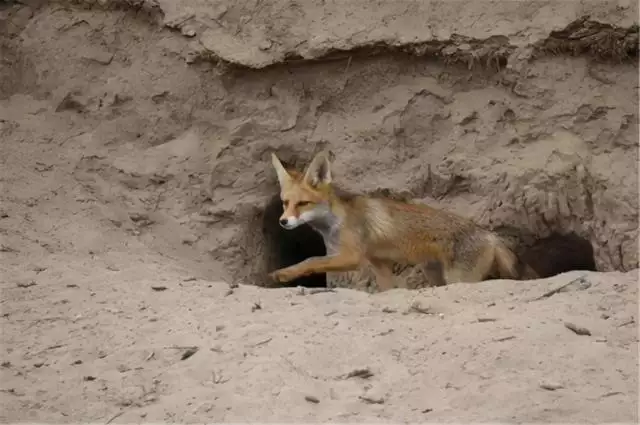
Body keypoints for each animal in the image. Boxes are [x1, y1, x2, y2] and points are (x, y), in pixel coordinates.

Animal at [268, 147, 528, 290]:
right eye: (284, 203)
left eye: (303, 204)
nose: (283, 222)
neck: (335, 221)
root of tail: (489, 235)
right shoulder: (379, 263)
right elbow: (387, 290)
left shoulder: (353, 257)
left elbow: (311, 259)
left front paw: (285, 273)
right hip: (434, 274)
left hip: (458, 278)